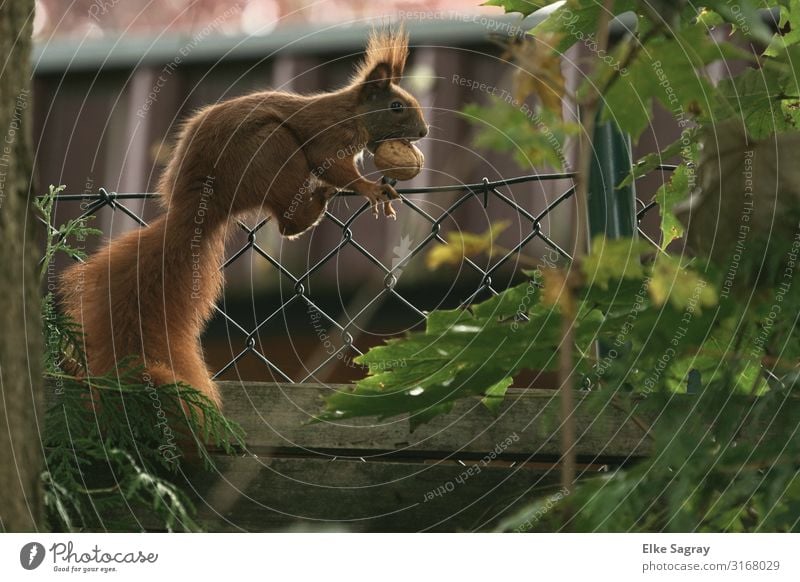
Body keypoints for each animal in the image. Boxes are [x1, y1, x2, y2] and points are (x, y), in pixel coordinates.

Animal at [59, 28, 428, 410]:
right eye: (396, 106)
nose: (424, 131)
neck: (351, 112)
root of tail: (201, 207)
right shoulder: (329, 137)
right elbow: (336, 167)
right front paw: (372, 189)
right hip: (274, 153)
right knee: (289, 222)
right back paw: (320, 200)